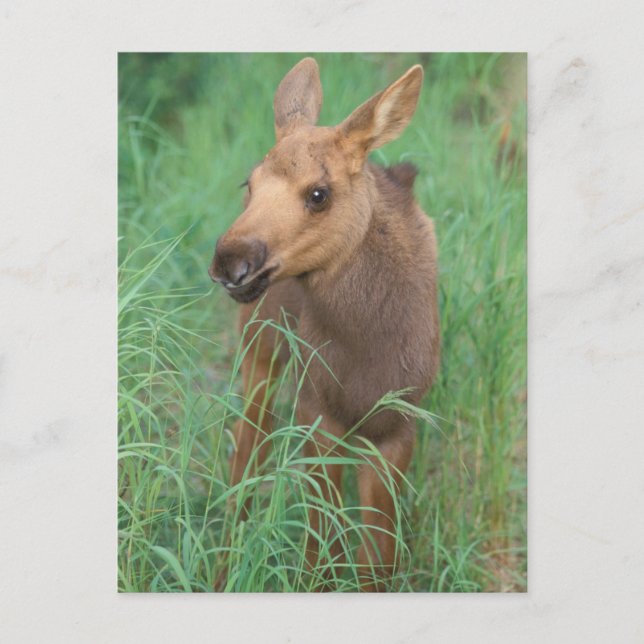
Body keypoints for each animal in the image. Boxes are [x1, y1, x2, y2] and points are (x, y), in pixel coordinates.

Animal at [208, 58, 440, 591]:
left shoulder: (398, 427)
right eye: (249, 184)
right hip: (260, 348)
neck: (368, 348)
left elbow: (378, 561)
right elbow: (322, 549)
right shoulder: (318, 412)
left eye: (319, 193)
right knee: (245, 456)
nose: (231, 262)